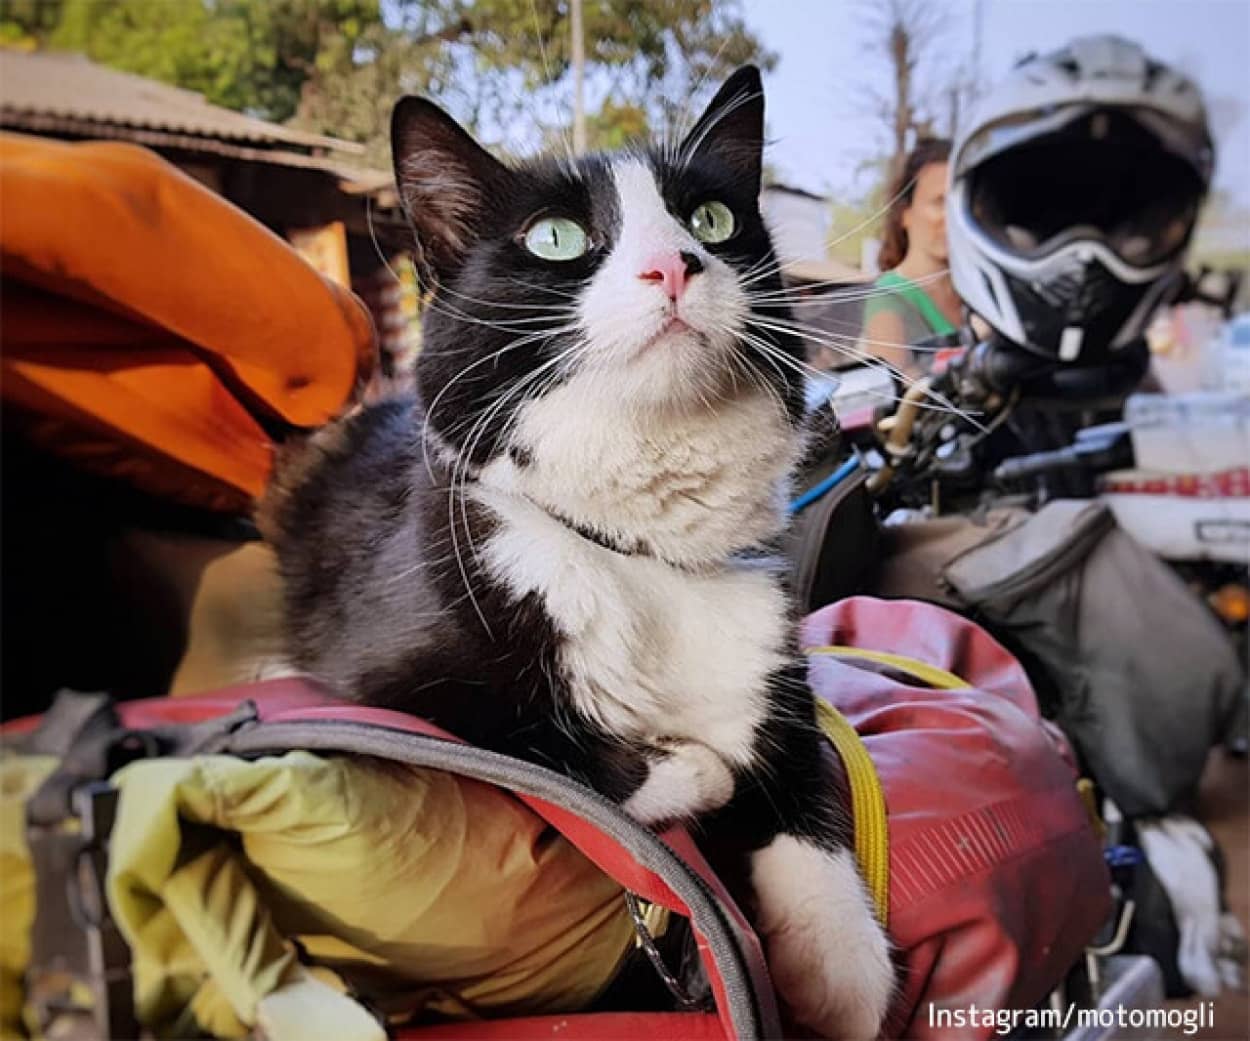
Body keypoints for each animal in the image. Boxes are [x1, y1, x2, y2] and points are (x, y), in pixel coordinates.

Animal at [263, 66, 895, 1039]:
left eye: (712, 219)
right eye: (554, 238)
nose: (675, 263)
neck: (639, 553)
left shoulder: (769, 652)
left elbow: (800, 770)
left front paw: (841, 960)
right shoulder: (391, 677)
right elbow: (555, 747)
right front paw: (695, 764)